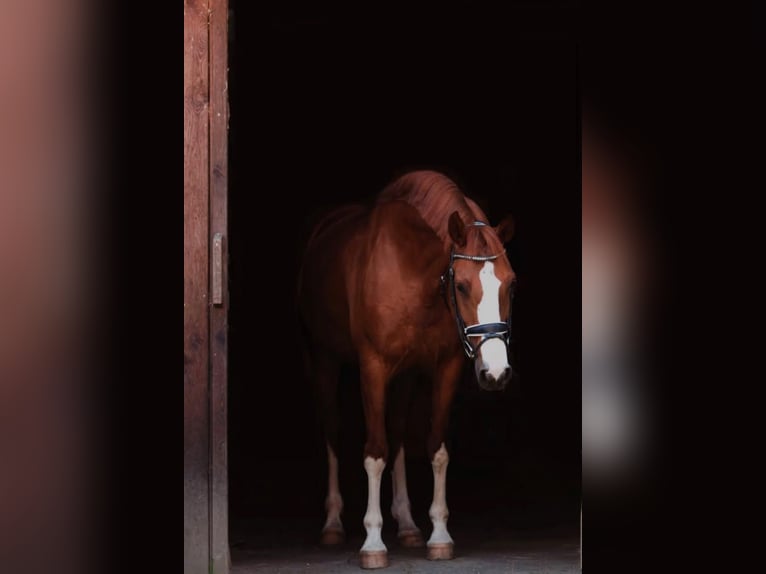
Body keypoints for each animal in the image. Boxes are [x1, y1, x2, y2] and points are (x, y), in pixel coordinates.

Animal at [297, 170, 516, 569]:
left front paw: (439, 535)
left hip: (406, 376)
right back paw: (333, 524)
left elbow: (435, 448)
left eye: (511, 283)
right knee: (333, 431)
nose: (496, 372)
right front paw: (372, 542)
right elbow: (375, 451)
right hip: (324, 361)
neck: (414, 270)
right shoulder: (373, 367)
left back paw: (408, 525)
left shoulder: (446, 367)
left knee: (398, 433)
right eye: (462, 285)